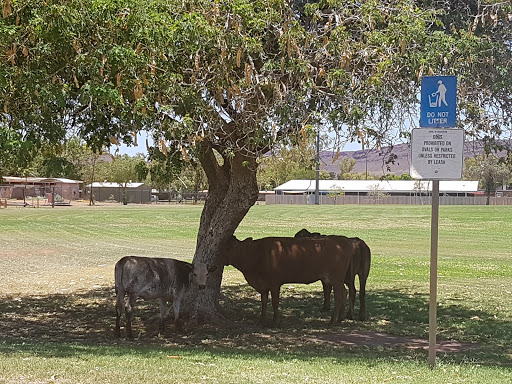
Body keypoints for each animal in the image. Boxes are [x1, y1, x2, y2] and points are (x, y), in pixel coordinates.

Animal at [219, 236, 356, 326]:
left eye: (228, 247)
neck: (256, 255)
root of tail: (344, 239)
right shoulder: (263, 285)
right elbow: (264, 302)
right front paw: (262, 320)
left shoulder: (274, 283)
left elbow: (275, 303)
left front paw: (275, 321)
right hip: (336, 280)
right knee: (344, 292)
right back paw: (340, 318)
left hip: (336, 278)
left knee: (339, 296)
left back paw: (332, 321)